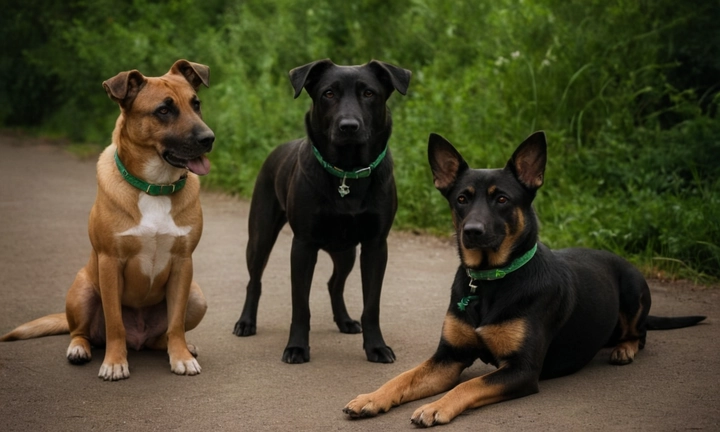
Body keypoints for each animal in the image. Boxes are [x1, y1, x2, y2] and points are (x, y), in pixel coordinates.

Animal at [0, 59, 214, 380]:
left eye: (196, 103)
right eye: (164, 110)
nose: (208, 139)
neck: (154, 186)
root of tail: (139, 338)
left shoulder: (182, 263)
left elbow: (175, 324)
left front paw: (181, 357)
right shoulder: (110, 263)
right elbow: (115, 323)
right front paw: (114, 362)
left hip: (196, 296)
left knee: (160, 336)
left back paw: (179, 346)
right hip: (83, 290)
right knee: (82, 332)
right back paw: (80, 349)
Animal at [232, 60, 410, 364]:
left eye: (369, 93)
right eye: (328, 93)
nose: (348, 126)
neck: (347, 173)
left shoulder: (376, 245)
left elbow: (371, 304)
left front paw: (376, 346)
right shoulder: (303, 246)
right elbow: (300, 305)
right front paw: (296, 347)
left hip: (346, 252)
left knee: (334, 284)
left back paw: (345, 321)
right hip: (260, 237)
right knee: (254, 281)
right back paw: (246, 322)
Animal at [346, 131, 704, 426]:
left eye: (502, 199)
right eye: (462, 199)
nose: (471, 232)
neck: (490, 280)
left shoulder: (523, 370)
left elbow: (469, 384)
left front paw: (436, 406)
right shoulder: (449, 356)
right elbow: (403, 377)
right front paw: (372, 398)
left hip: (632, 290)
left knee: (640, 334)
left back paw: (624, 349)